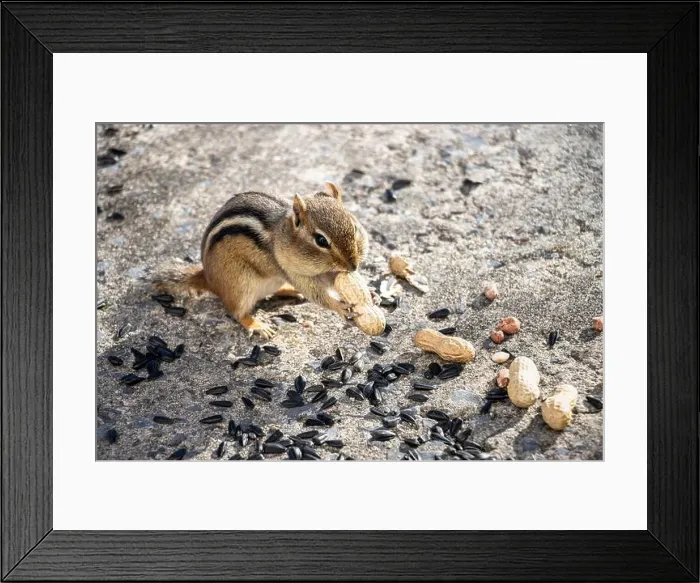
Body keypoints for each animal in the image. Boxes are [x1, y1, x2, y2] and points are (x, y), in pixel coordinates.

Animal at [156, 182, 368, 339]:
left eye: (354, 227)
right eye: (321, 240)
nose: (353, 266)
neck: (280, 234)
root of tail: (208, 279)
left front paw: (370, 294)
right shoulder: (289, 269)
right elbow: (315, 293)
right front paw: (338, 305)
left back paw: (289, 291)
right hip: (240, 285)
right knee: (237, 312)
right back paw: (257, 325)